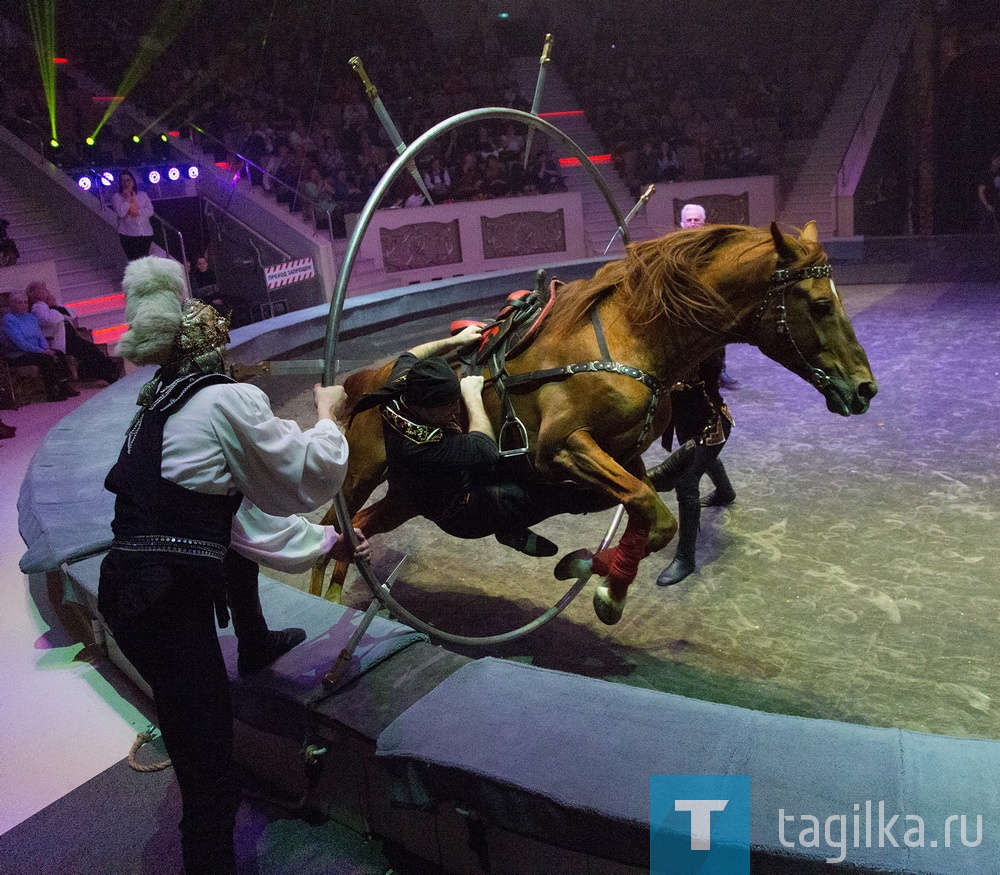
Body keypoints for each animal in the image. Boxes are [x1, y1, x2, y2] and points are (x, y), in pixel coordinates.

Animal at [312, 222, 876, 628]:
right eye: (821, 303)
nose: (865, 388)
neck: (632, 340)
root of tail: (378, 376)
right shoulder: (562, 449)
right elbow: (649, 507)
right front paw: (602, 581)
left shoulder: (625, 457)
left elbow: (653, 517)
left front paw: (597, 575)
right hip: (361, 473)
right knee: (331, 525)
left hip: (406, 497)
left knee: (358, 527)